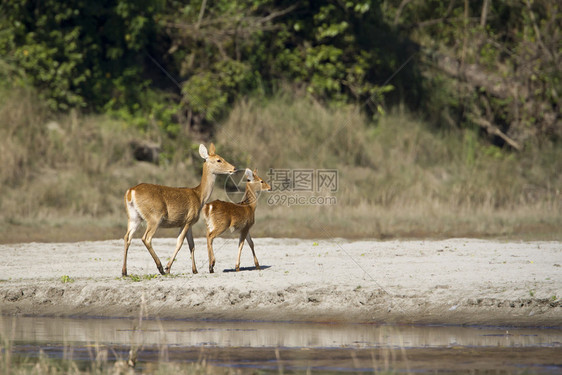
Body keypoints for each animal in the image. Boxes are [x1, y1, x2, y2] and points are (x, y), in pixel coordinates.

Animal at [121, 143, 235, 276]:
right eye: (218, 160)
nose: (233, 168)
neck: (199, 196)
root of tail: (131, 192)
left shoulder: (188, 223)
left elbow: (192, 245)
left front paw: (195, 270)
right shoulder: (188, 220)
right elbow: (180, 242)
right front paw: (168, 267)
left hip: (134, 217)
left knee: (127, 237)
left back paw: (124, 271)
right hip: (154, 217)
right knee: (146, 238)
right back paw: (160, 268)